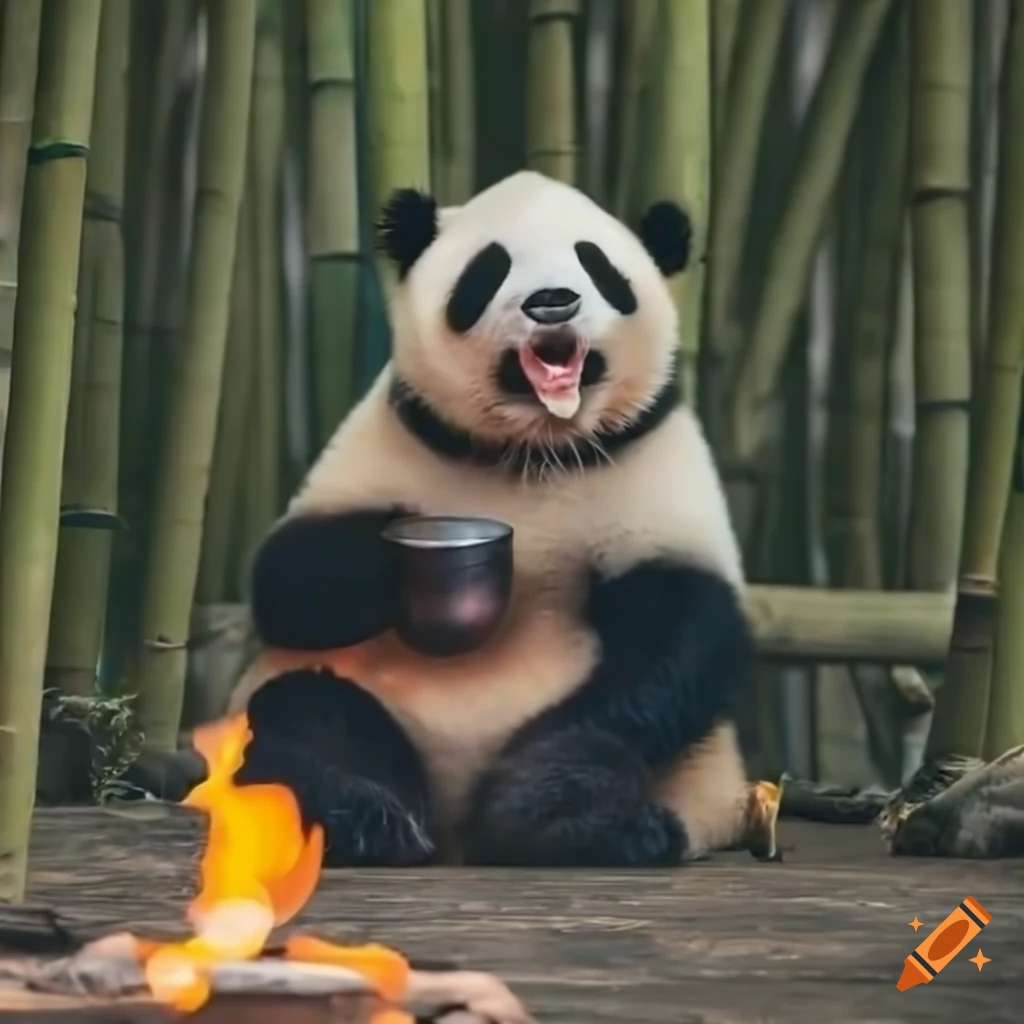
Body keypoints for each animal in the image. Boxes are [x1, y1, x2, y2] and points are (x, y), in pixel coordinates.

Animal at [226, 169, 755, 869]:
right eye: (490, 269)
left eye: (596, 264)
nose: (553, 301)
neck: (535, 450)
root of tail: (450, 833)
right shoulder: (400, 429)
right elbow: (288, 577)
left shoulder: (651, 461)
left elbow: (681, 627)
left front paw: (542, 804)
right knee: (305, 713)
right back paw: (364, 816)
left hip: (697, 776)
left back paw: (575, 821)